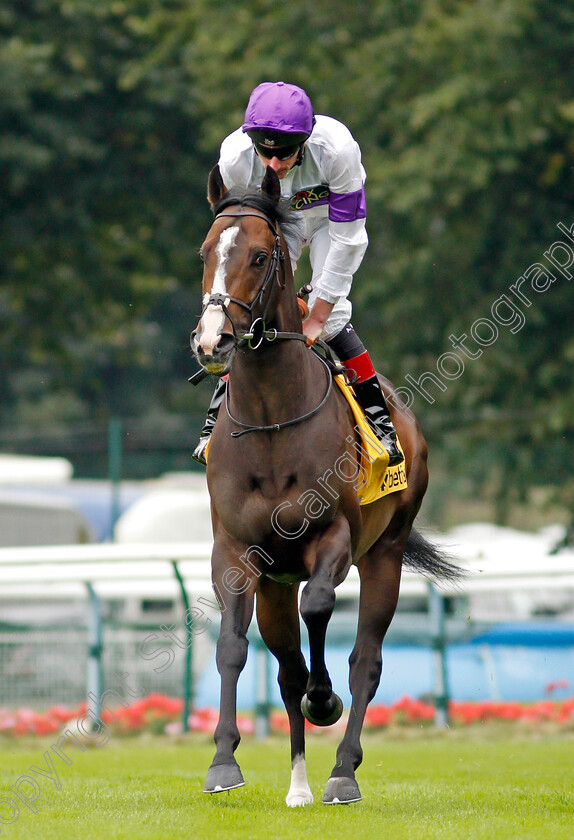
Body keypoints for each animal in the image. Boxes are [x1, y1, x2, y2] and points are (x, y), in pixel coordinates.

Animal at [191, 166, 462, 808]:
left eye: (260, 256)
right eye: (205, 253)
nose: (212, 342)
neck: (271, 420)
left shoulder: (333, 537)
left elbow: (320, 609)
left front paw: (325, 699)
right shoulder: (236, 552)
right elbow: (234, 647)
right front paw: (223, 762)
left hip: (385, 552)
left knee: (366, 659)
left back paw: (341, 769)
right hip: (275, 582)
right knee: (287, 665)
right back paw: (298, 784)